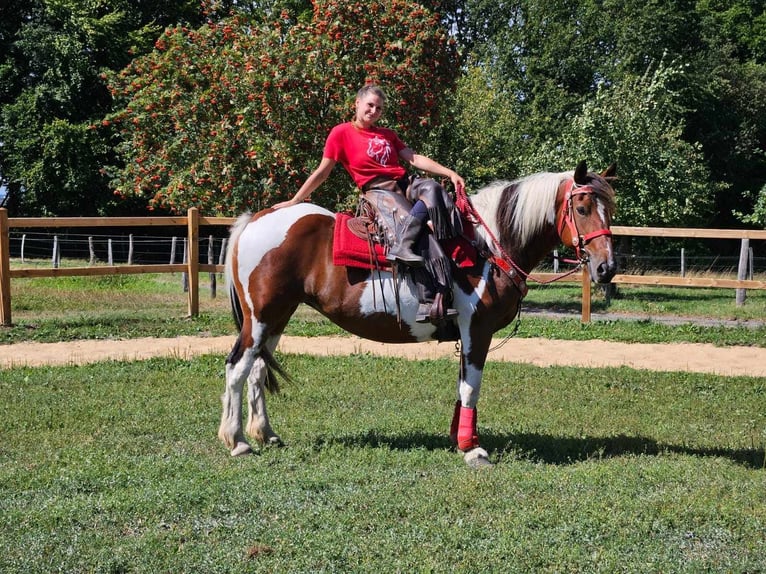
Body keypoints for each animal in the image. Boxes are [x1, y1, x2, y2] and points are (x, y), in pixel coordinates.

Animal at [218, 161, 616, 468]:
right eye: (582, 209)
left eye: (609, 210)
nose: (606, 268)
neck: (486, 246)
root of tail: (256, 219)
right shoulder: (478, 329)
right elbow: (471, 388)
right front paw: (473, 450)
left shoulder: (467, 333)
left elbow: (462, 387)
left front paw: (460, 438)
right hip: (262, 317)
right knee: (237, 367)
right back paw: (237, 441)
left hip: (276, 317)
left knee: (257, 369)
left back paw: (266, 434)